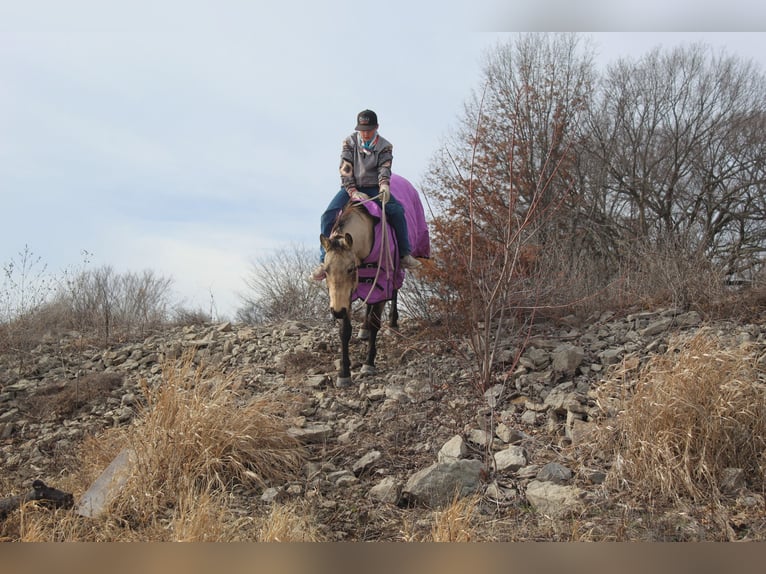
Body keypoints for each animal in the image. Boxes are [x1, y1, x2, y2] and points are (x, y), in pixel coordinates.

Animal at [320, 173, 432, 390]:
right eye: (326, 270)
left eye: (350, 269)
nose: (336, 312)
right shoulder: (347, 294)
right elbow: (345, 330)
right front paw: (344, 374)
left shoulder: (382, 281)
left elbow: (375, 322)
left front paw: (368, 364)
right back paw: (363, 330)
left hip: (395, 271)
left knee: (394, 292)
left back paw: (393, 324)